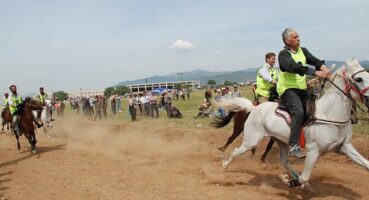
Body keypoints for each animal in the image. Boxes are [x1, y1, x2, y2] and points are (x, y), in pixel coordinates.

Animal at [218, 59, 368, 191]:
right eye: (359, 79)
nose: (355, 119)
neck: (328, 115)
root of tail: (254, 108)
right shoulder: (313, 151)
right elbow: (305, 177)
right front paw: (292, 182)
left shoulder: (344, 146)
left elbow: (366, 164)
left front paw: (291, 180)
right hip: (251, 140)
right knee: (235, 150)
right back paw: (224, 163)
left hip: (281, 142)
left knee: (284, 161)